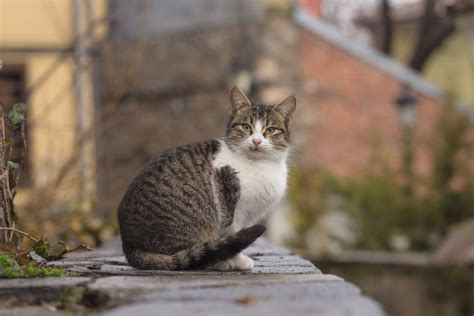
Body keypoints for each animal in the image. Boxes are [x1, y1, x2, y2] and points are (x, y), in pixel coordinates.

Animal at [117, 87, 296, 272]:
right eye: (246, 127)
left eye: (270, 130)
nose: (256, 141)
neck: (259, 164)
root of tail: (130, 247)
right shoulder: (233, 212)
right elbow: (232, 238)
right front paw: (238, 260)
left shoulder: (249, 216)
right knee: (195, 255)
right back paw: (221, 262)